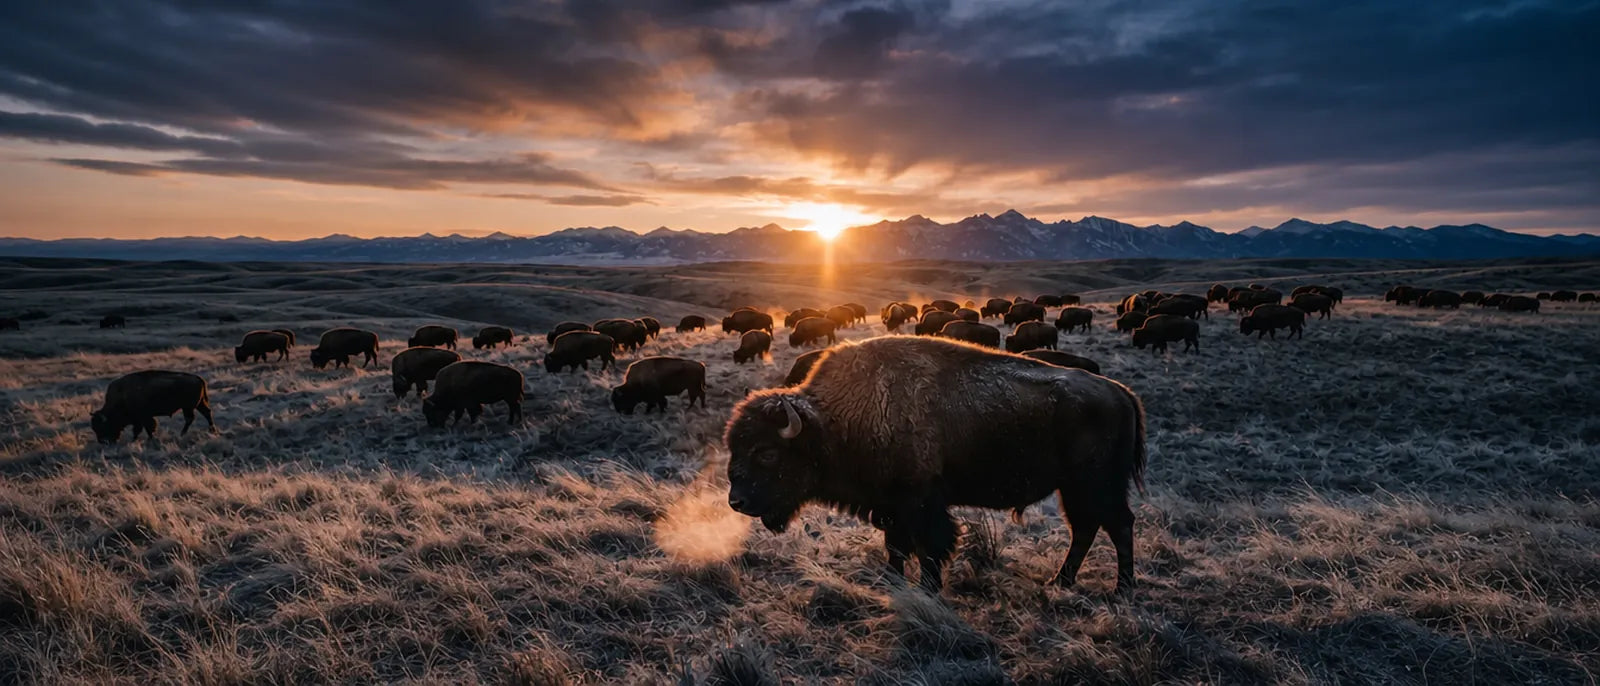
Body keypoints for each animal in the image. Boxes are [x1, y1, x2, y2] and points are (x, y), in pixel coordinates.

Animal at [725, 336, 1147, 593]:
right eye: (734, 447)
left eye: (766, 452)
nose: (736, 502)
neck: (834, 421)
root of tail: (1121, 392)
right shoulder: (891, 506)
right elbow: (896, 547)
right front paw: (893, 582)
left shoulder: (921, 502)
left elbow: (930, 546)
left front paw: (928, 589)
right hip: (1073, 488)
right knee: (1087, 528)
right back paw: (1061, 582)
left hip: (1094, 484)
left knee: (1117, 524)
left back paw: (1121, 588)